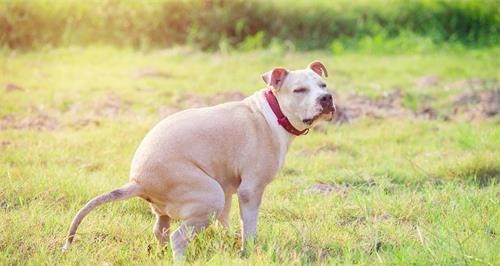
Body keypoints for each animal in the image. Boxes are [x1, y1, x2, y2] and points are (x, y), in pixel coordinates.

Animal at [62, 59, 336, 258]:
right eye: (299, 90)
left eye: (323, 85)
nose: (327, 99)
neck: (273, 113)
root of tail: (137, 181)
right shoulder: (250, 191)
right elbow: (249, 226)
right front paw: (247, 251)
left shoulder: (229, 190)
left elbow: (225, 221)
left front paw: (228, 242)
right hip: (209, 196)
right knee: (178, 238)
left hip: (182, 204)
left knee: (161, 230)